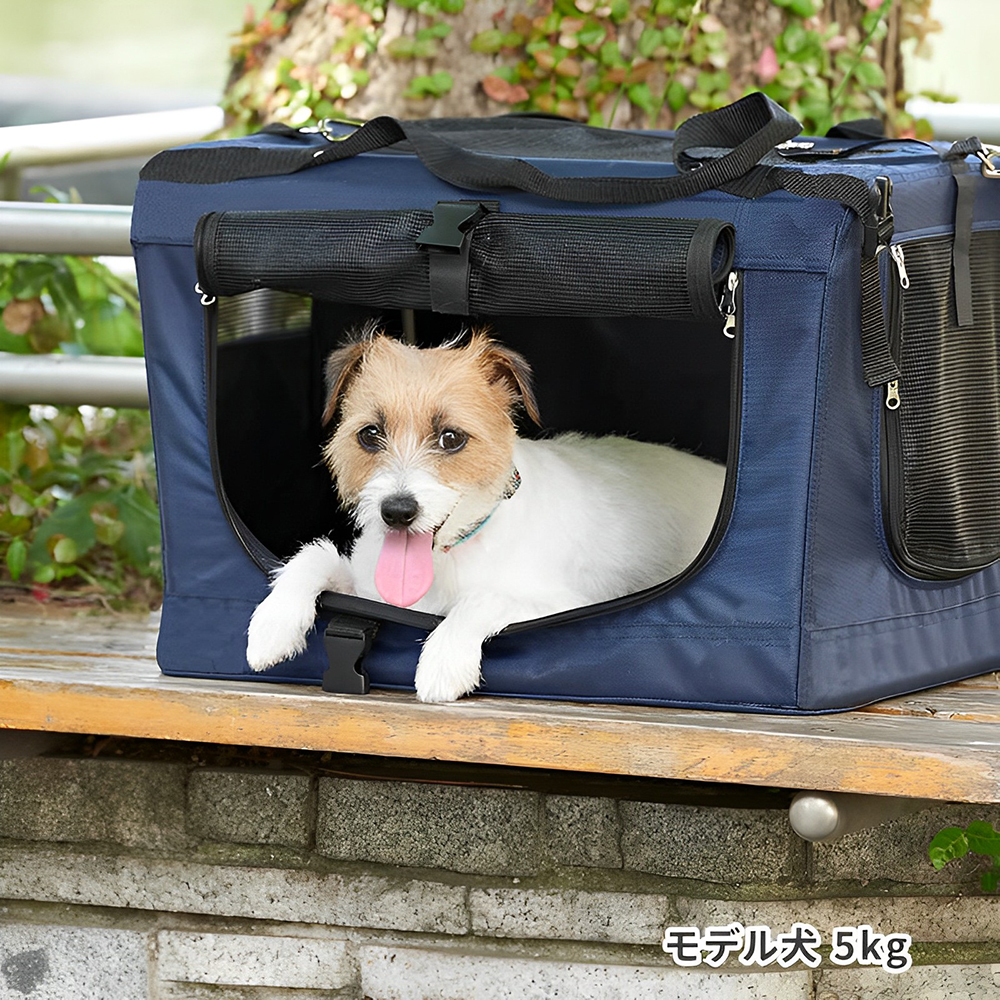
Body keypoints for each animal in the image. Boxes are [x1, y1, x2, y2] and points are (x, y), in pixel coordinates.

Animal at [245, 328, 725, 702]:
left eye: (451, 438)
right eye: (369, 434)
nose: (397, 512)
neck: (451, 555)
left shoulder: (568, 607)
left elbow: (484, 598)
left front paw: (443, 660)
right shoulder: (368, 586)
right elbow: (314, 555)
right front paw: (273, 622)